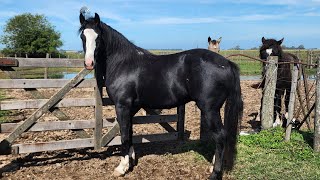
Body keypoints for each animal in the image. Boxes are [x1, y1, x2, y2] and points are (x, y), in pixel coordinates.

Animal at [78, 12, 242, 180]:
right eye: (82, 36)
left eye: (98, 37)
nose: (89, 63)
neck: (123, 63)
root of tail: (226, 63)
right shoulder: (131, 108)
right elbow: (129, 133)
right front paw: (131, 161)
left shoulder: (122, 106)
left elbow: (124, 135)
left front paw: (121, 168)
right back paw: (212, 167)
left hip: (209, 109)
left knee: (220, 136)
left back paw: (215, 173)